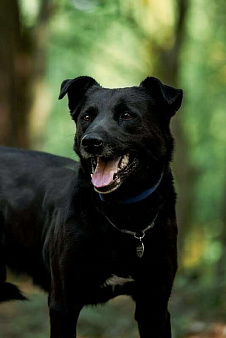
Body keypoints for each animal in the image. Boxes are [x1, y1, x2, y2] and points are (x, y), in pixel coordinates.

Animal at [0, 75, 183, 336]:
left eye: (127, 115)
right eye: (87, 117)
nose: (91, 142)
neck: (124, 214)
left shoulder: (154, 305)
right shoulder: (63, 304)